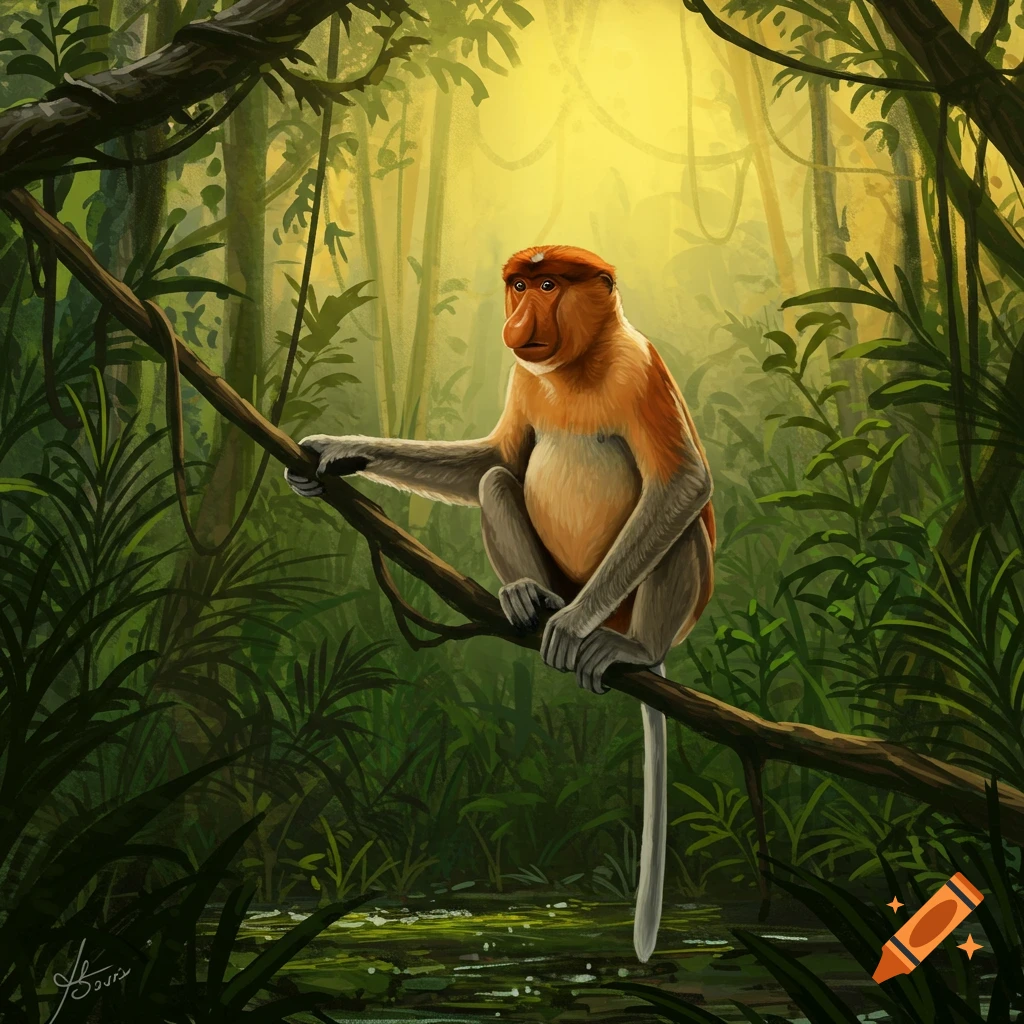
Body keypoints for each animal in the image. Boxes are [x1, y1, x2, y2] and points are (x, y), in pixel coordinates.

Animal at [285, 245, 715, 963]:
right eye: (518, 284)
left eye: (548, 283)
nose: (517, 321)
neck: (576, 369)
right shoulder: (525, 381)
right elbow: (496, 458)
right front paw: (334, 452)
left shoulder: (642, 369)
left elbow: (683, 482)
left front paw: (571, 626)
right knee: (494, 480)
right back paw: (527, 598)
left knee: (676, 527)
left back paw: (622, 643)